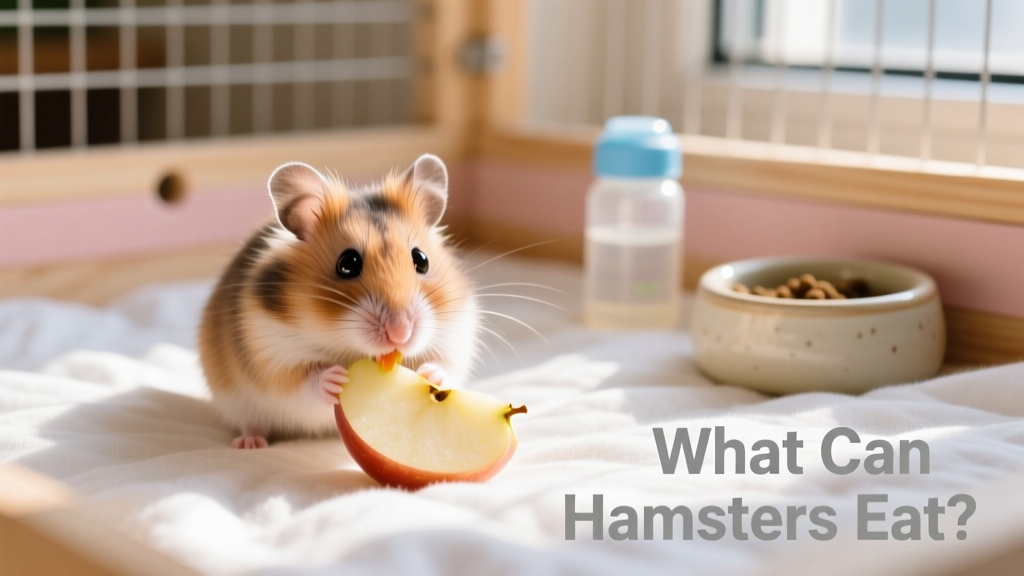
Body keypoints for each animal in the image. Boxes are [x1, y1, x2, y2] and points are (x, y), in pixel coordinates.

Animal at [198, 154, 480, 449]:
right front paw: (335, 380)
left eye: (421, 260)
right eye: (347, 264)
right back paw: (250, 443)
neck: (348, 346)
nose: (400, 334)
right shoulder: (272, 353)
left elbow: (445, 364)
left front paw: (430, 374)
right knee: (251, 422)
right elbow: (301, 383)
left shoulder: (455, 336)